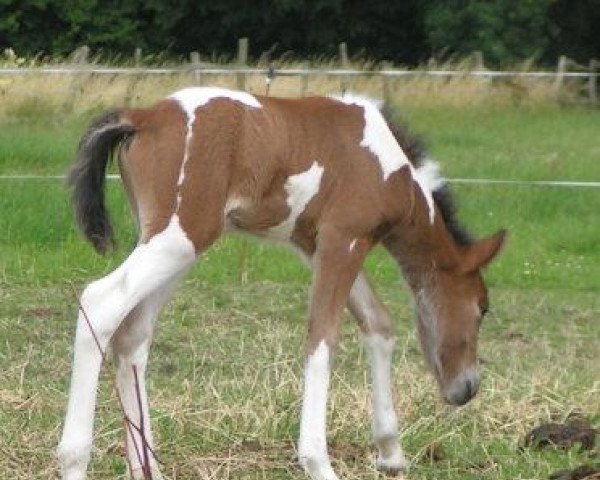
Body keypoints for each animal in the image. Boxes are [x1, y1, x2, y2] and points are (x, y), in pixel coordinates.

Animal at [57, 87, 506, 480]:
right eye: (482, 307)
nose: (467, 388)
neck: (391, 167)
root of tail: (142, 117)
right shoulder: (344, 239)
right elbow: (323, 338)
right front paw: (319, 463)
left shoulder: (313, 244)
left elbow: (378, 323)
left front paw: (391, 452)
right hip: (180, 237)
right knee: (100, 302)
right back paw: (74, 460)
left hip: (173, 246)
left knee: (134, 331)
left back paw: (146, 468)